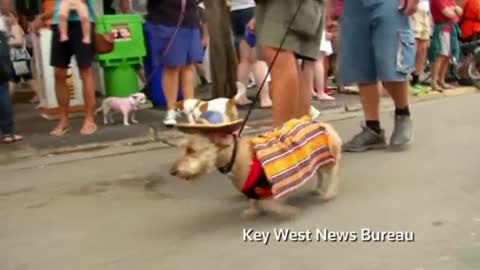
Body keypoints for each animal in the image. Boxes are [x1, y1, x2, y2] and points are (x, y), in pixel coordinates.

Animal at [169, 121, 342, 218]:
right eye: (182, 149)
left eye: (191, 150)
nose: (173, 172)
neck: (236, 156)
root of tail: (323, 123)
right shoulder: (251, 187)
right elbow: (253, 200)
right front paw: (253, 210)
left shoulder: (277, 184)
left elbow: (273, 204)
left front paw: (286, 210)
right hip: (317, 160)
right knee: (320, 174)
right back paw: (318, 188)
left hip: (328, 158)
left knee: (332, 174)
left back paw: (329, 193)